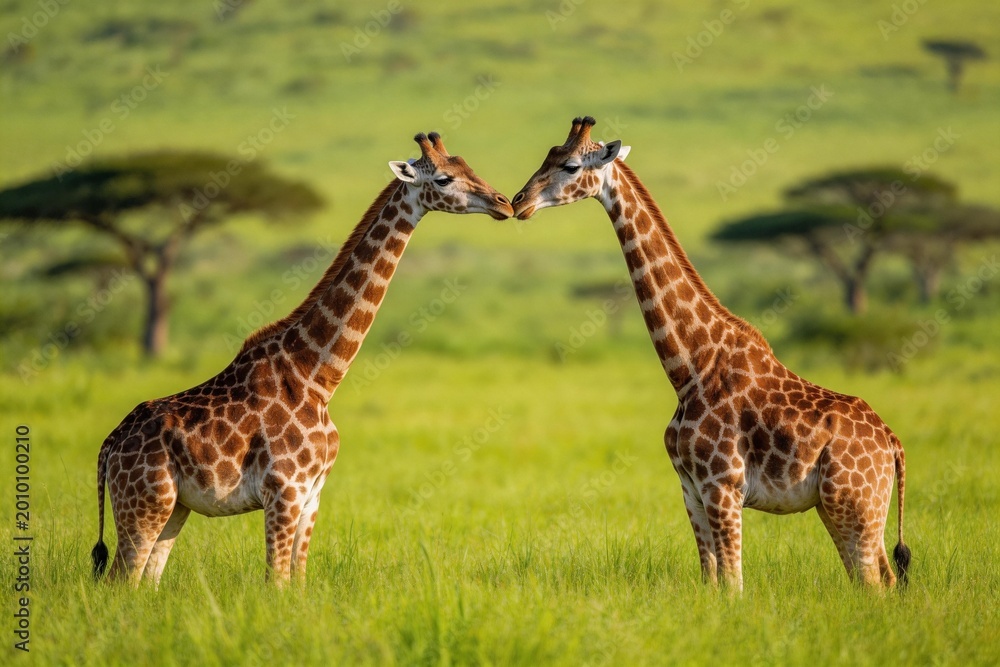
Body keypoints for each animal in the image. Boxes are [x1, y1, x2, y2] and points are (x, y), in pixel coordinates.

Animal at [91, 132, 513, 587]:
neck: (317, 374)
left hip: (175, 508)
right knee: (120, 580)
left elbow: (298, 581)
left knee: (145, 582)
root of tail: (108, 446)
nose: (505, 203)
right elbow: (276, 581)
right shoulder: (284, 490)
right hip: (144, 504)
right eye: (444, 177)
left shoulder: (312, 495)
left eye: (468, 165)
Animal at [511, 117, 910, 590]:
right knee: (881, 578)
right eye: (548, 155)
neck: (690, 367)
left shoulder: (723, 485)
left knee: (874, 582)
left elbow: (734, 585)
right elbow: (712, 580)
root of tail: (892, 443)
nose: (518, 202)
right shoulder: (690, 487)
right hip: (841, 509)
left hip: (855, 503)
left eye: (570, 165)